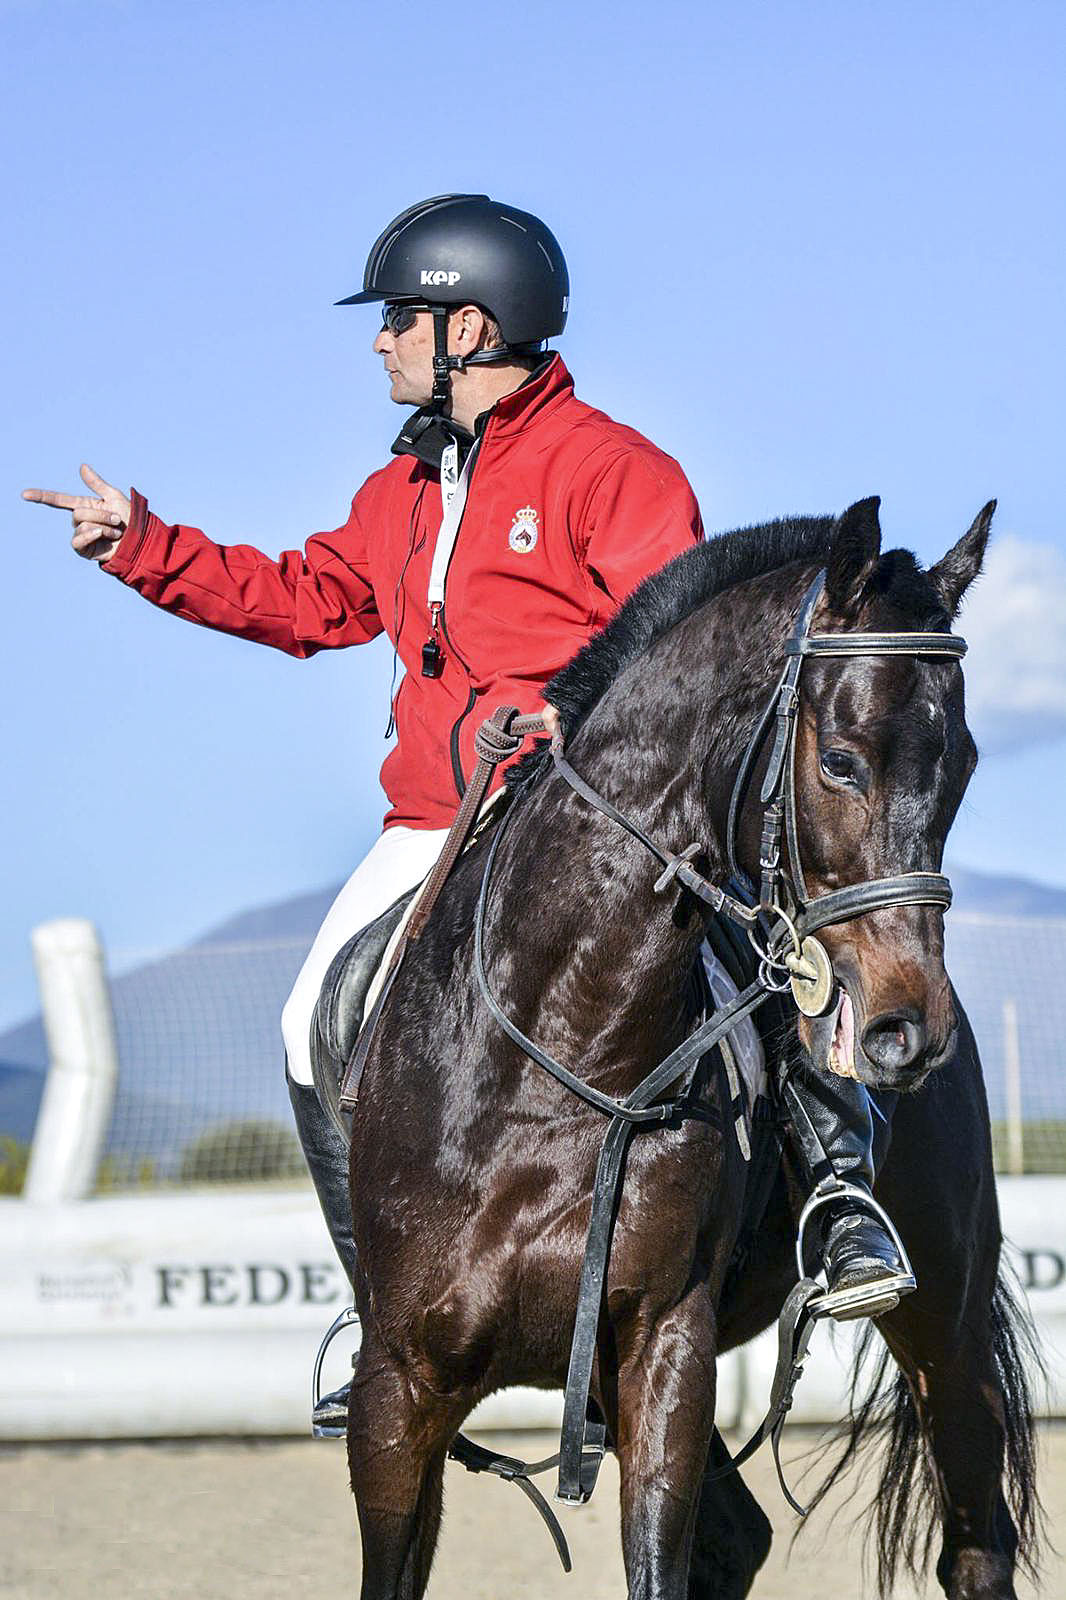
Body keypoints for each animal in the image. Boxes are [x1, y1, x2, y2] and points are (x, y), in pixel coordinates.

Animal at [329, 499, 1030, 1600]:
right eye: (840, 760)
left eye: (959, 765)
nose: (908, 1031)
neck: (556, 1052)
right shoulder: (398, 1392)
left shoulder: (665, 1348)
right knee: (742, 1536)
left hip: (943, 1325)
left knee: (972, 1537)